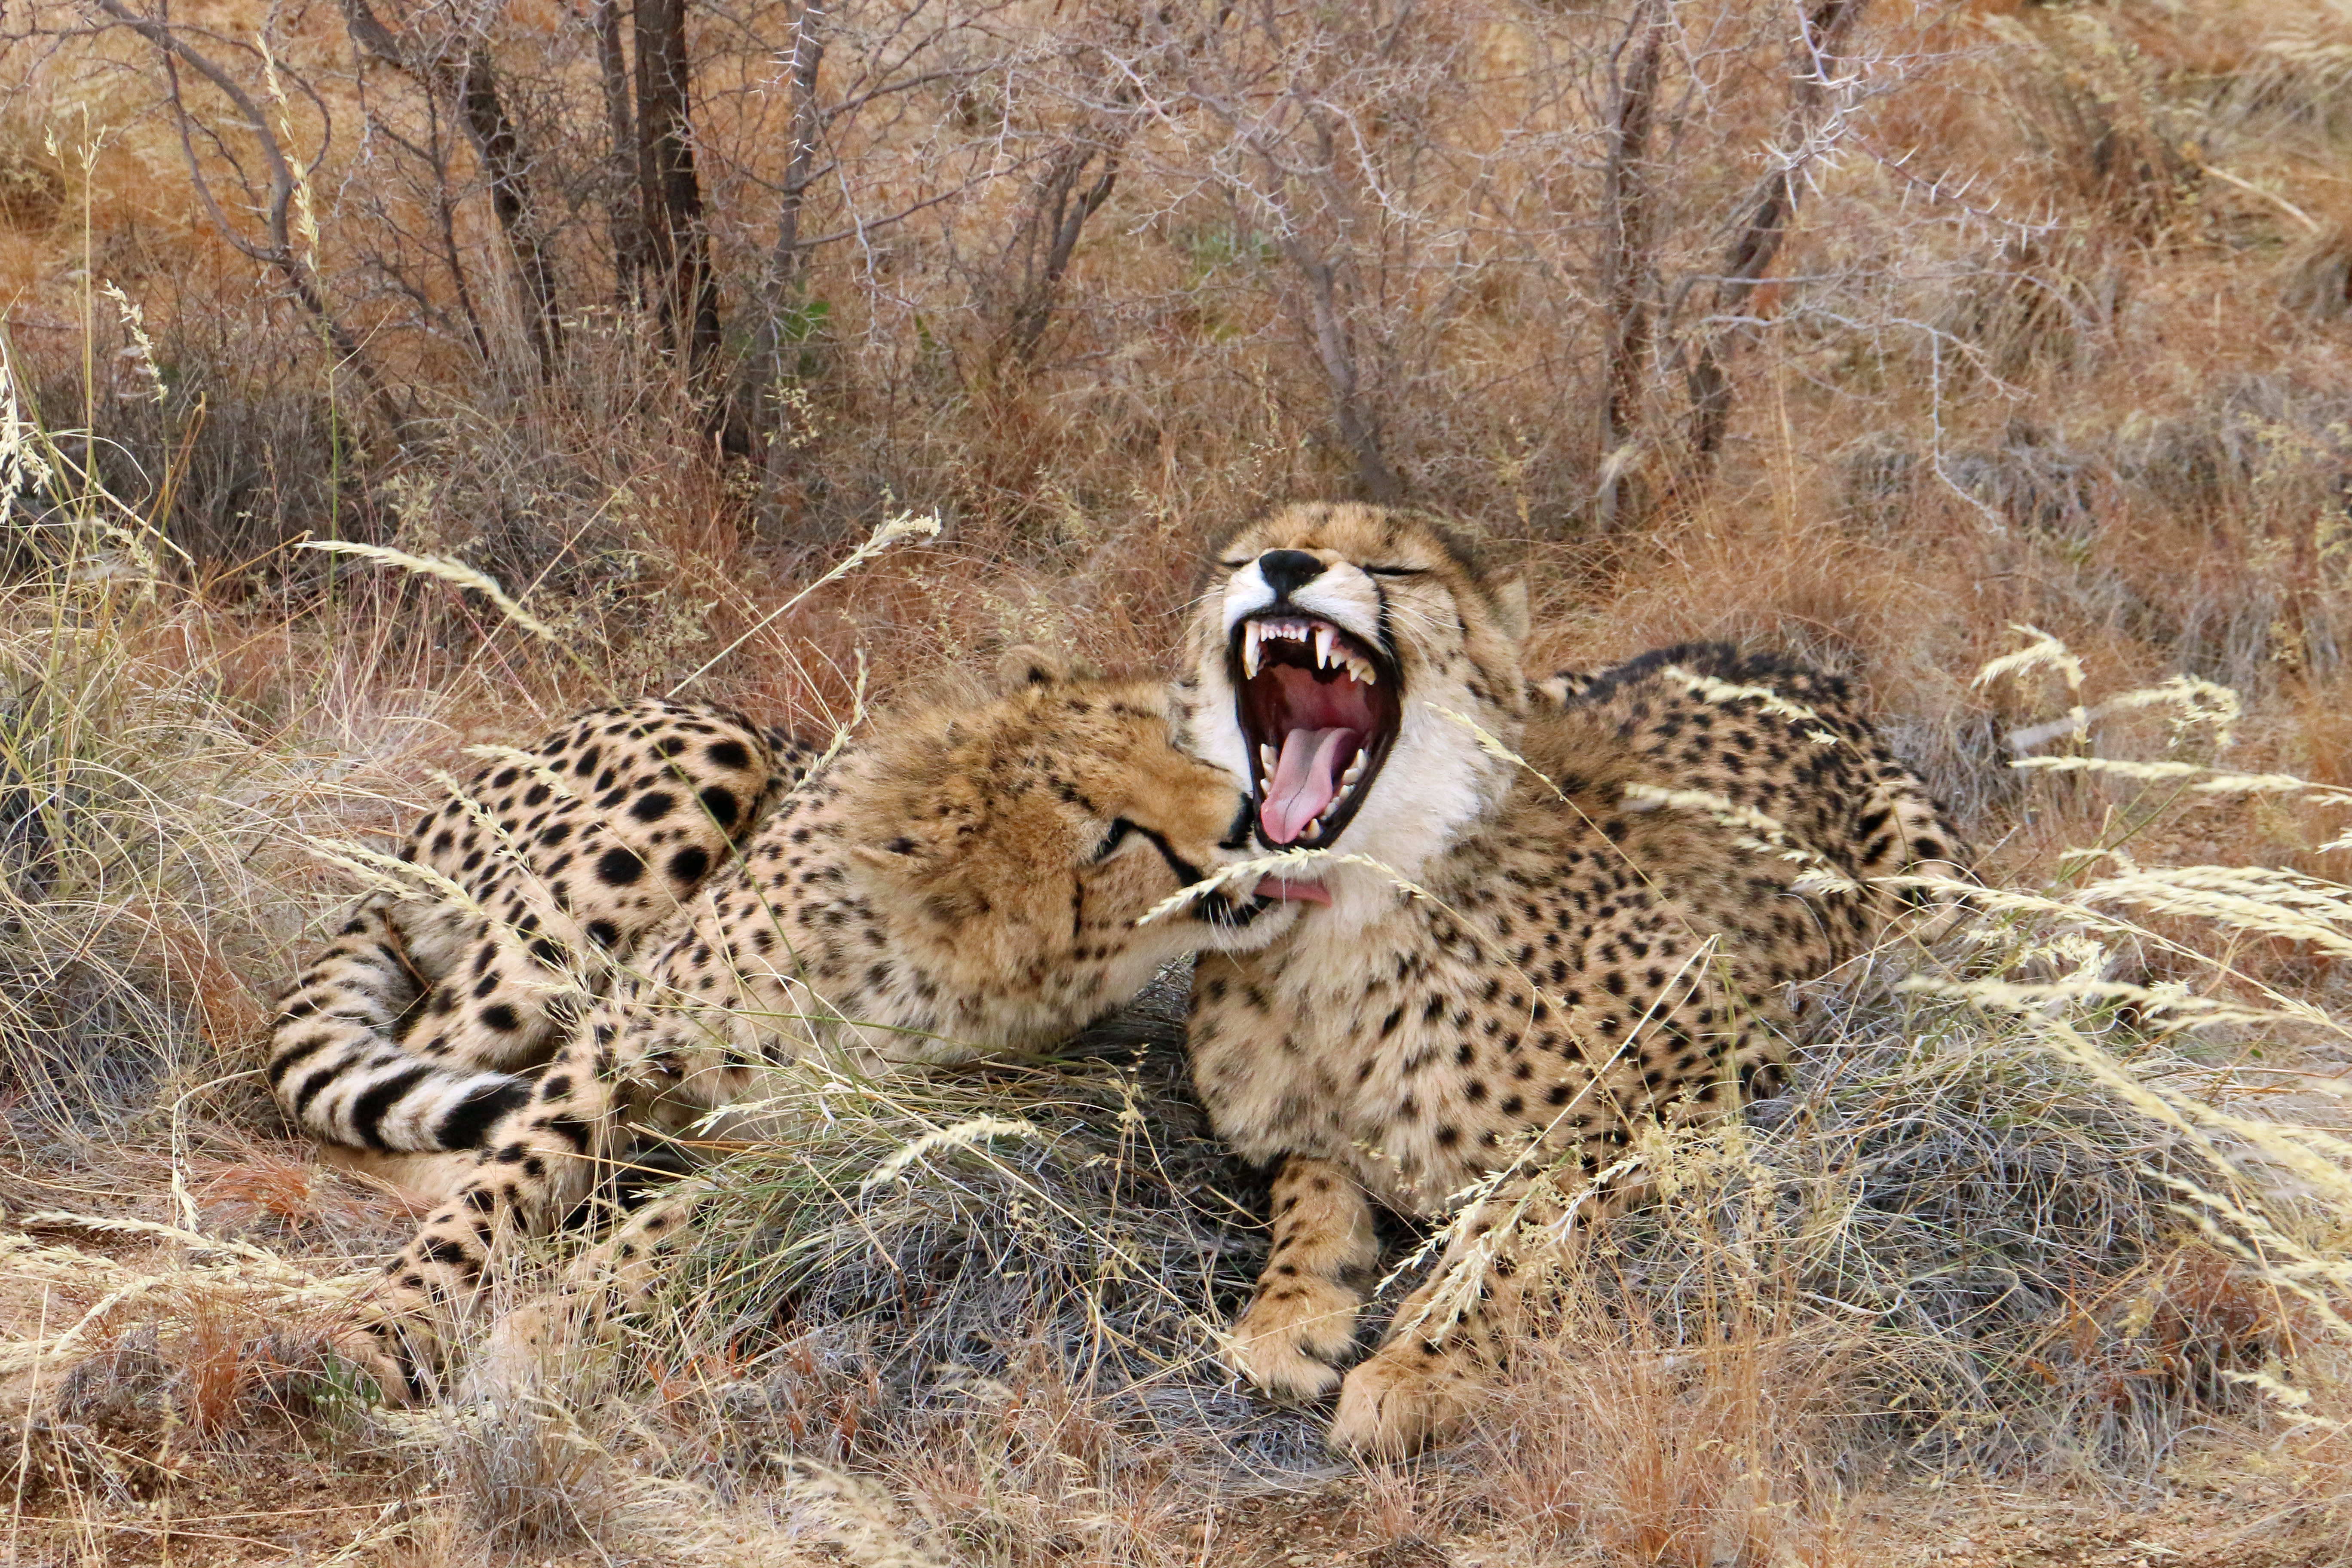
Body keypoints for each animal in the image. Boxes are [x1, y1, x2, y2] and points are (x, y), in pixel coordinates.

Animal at [282, 649, 1308, 1401]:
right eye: (1111, 834)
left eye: (1180, 738)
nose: (1252, 813)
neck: (891, 951)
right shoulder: (614, 1048)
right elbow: (496, 1197)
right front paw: (385, 1330)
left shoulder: (840, 1148)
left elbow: (672, 1230)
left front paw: (535, 1336)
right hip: (691, 777)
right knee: (397, 1081)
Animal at [1176, 503, 1966, 1457]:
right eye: (1238, 559)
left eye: (1394, 568)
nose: (1285, 565)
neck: (1348, 921)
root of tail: (1767, 656)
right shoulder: (1301, 1130)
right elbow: (1310, 1187)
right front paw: (1287, 1310)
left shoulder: (1720, 1063)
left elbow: (1519, 1216)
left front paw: (1421, 1365)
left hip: (1932, 901)